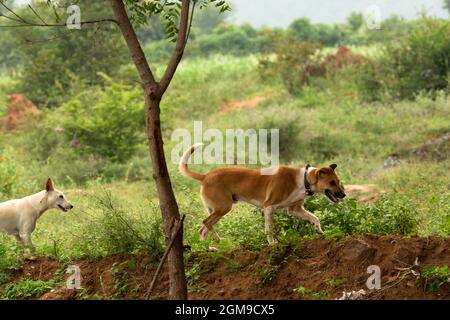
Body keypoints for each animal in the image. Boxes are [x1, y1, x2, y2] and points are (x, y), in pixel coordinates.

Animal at [179, 144, 344, 244]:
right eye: (332, 183)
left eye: (338, 181)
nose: (343, 195)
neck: (302, 180)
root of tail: (205, 176)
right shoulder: (269, 207)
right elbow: (269, 230)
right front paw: (273, 244)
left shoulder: (294, 209)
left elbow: (315, 218)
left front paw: (320, 231)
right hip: (223, 207)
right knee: (205, 222)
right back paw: (217, 239)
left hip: (218, 210)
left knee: (202, 230)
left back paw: (210, 248)